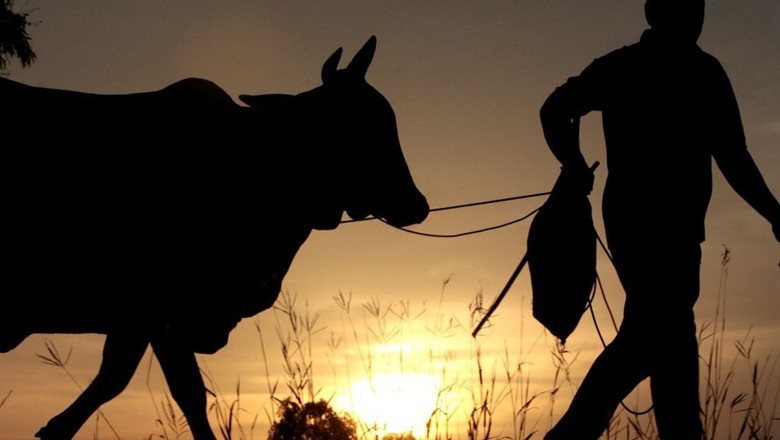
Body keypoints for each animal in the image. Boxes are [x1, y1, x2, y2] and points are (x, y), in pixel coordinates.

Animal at [0, 36, 429, 440]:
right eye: (360, 125)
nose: (417, 204)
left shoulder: (153, 317)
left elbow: (138, 384)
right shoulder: (156, 309)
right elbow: (168, 388)